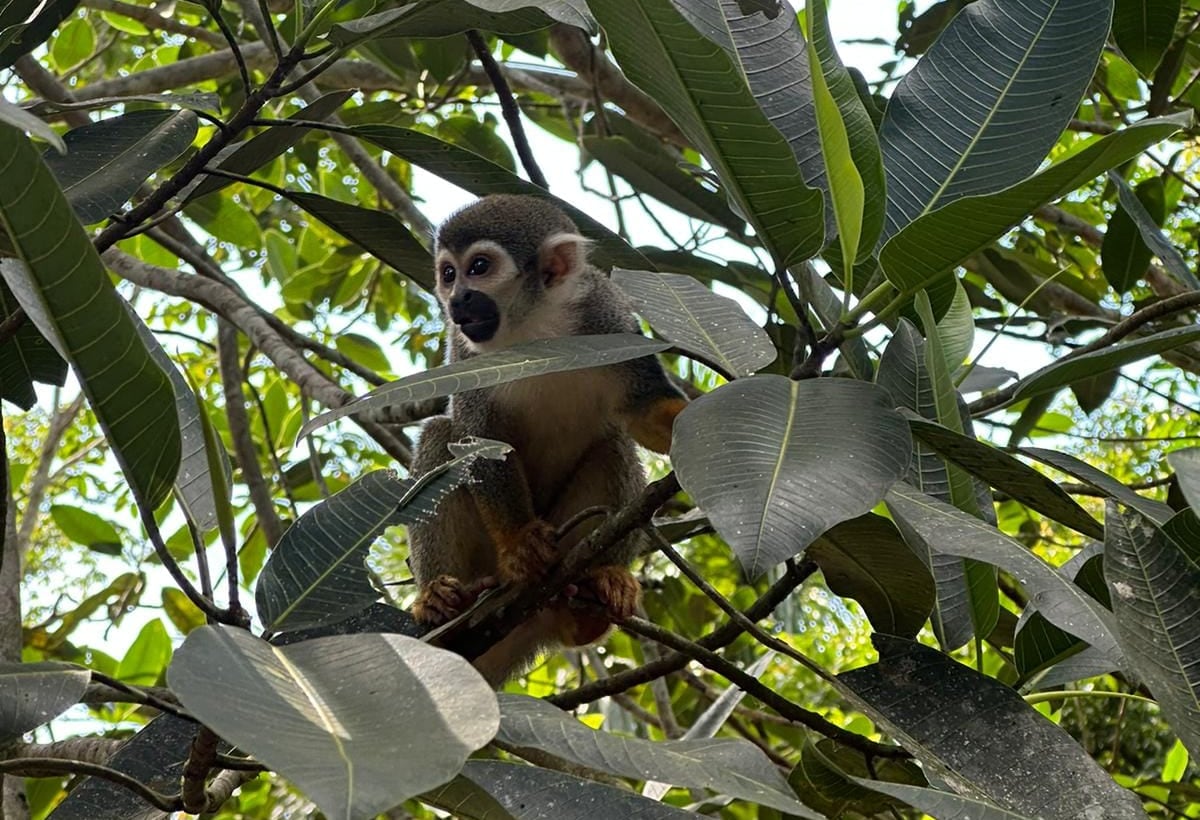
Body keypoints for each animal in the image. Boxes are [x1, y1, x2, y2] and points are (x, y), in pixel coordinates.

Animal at [406, 194, 687, 685]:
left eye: (478, 267)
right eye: (448, 273)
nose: (457, 299)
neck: (534, 330)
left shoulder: (606, 316)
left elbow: (643, 412)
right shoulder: (462, 348)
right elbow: (481, 441)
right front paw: (520, 542)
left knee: (612, 446)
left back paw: (593, 597)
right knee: (443, 437)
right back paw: (441, 599)